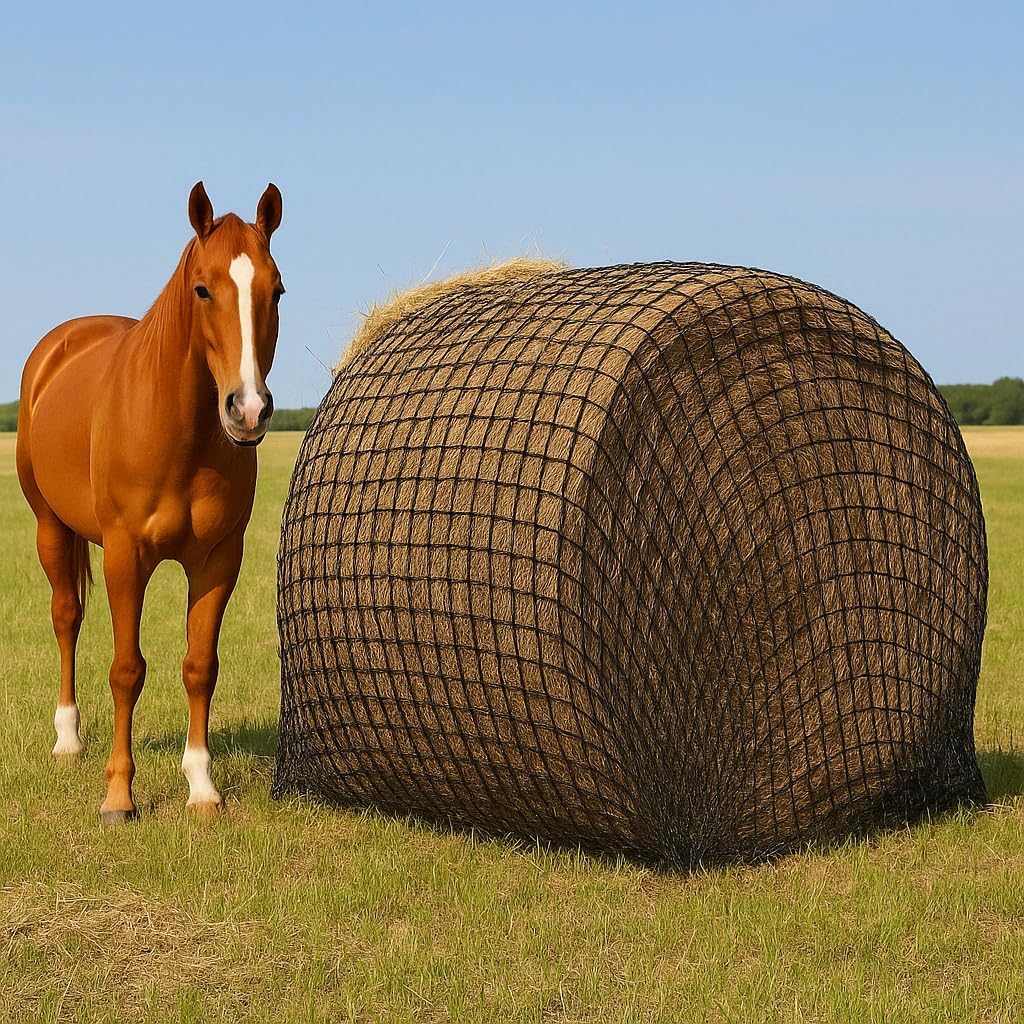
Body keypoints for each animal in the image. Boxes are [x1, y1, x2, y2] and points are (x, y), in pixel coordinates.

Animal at [16, 182, 284, 822]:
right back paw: (68, 740)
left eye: (277, 290)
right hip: (49, 527)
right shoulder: (124, 555)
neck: (179, 434)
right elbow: (126, 670)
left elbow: (200, 667)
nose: (249, 410)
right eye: (203, 288)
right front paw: (119, 795)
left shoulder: (218, 561)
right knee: (66, 617)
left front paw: (202, 787)